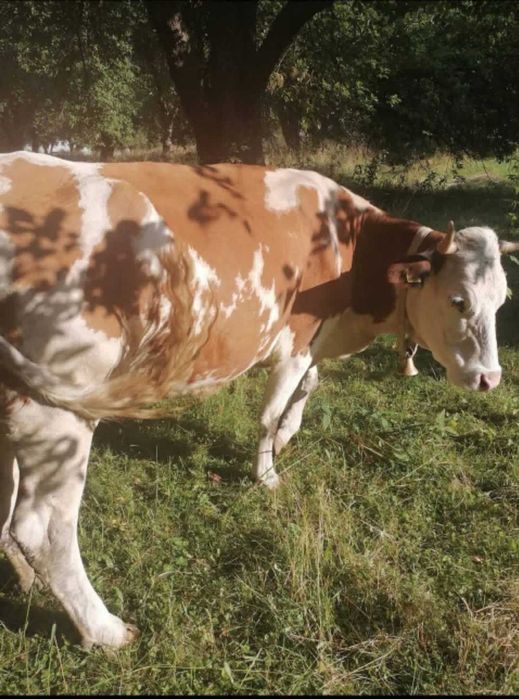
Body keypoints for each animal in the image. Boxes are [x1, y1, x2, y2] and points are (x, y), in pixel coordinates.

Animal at [0, 151, 517, 648]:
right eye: (458, 300)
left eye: (502, 300)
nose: (489, 378)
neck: (349, 246)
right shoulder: (296, 339)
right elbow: (270, 412)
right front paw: (267, 473)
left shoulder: (315, 339)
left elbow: (308, 387)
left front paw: (288, 436)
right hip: (57, 412)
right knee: (43, 528)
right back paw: (103, 630)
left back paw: (23, 577)